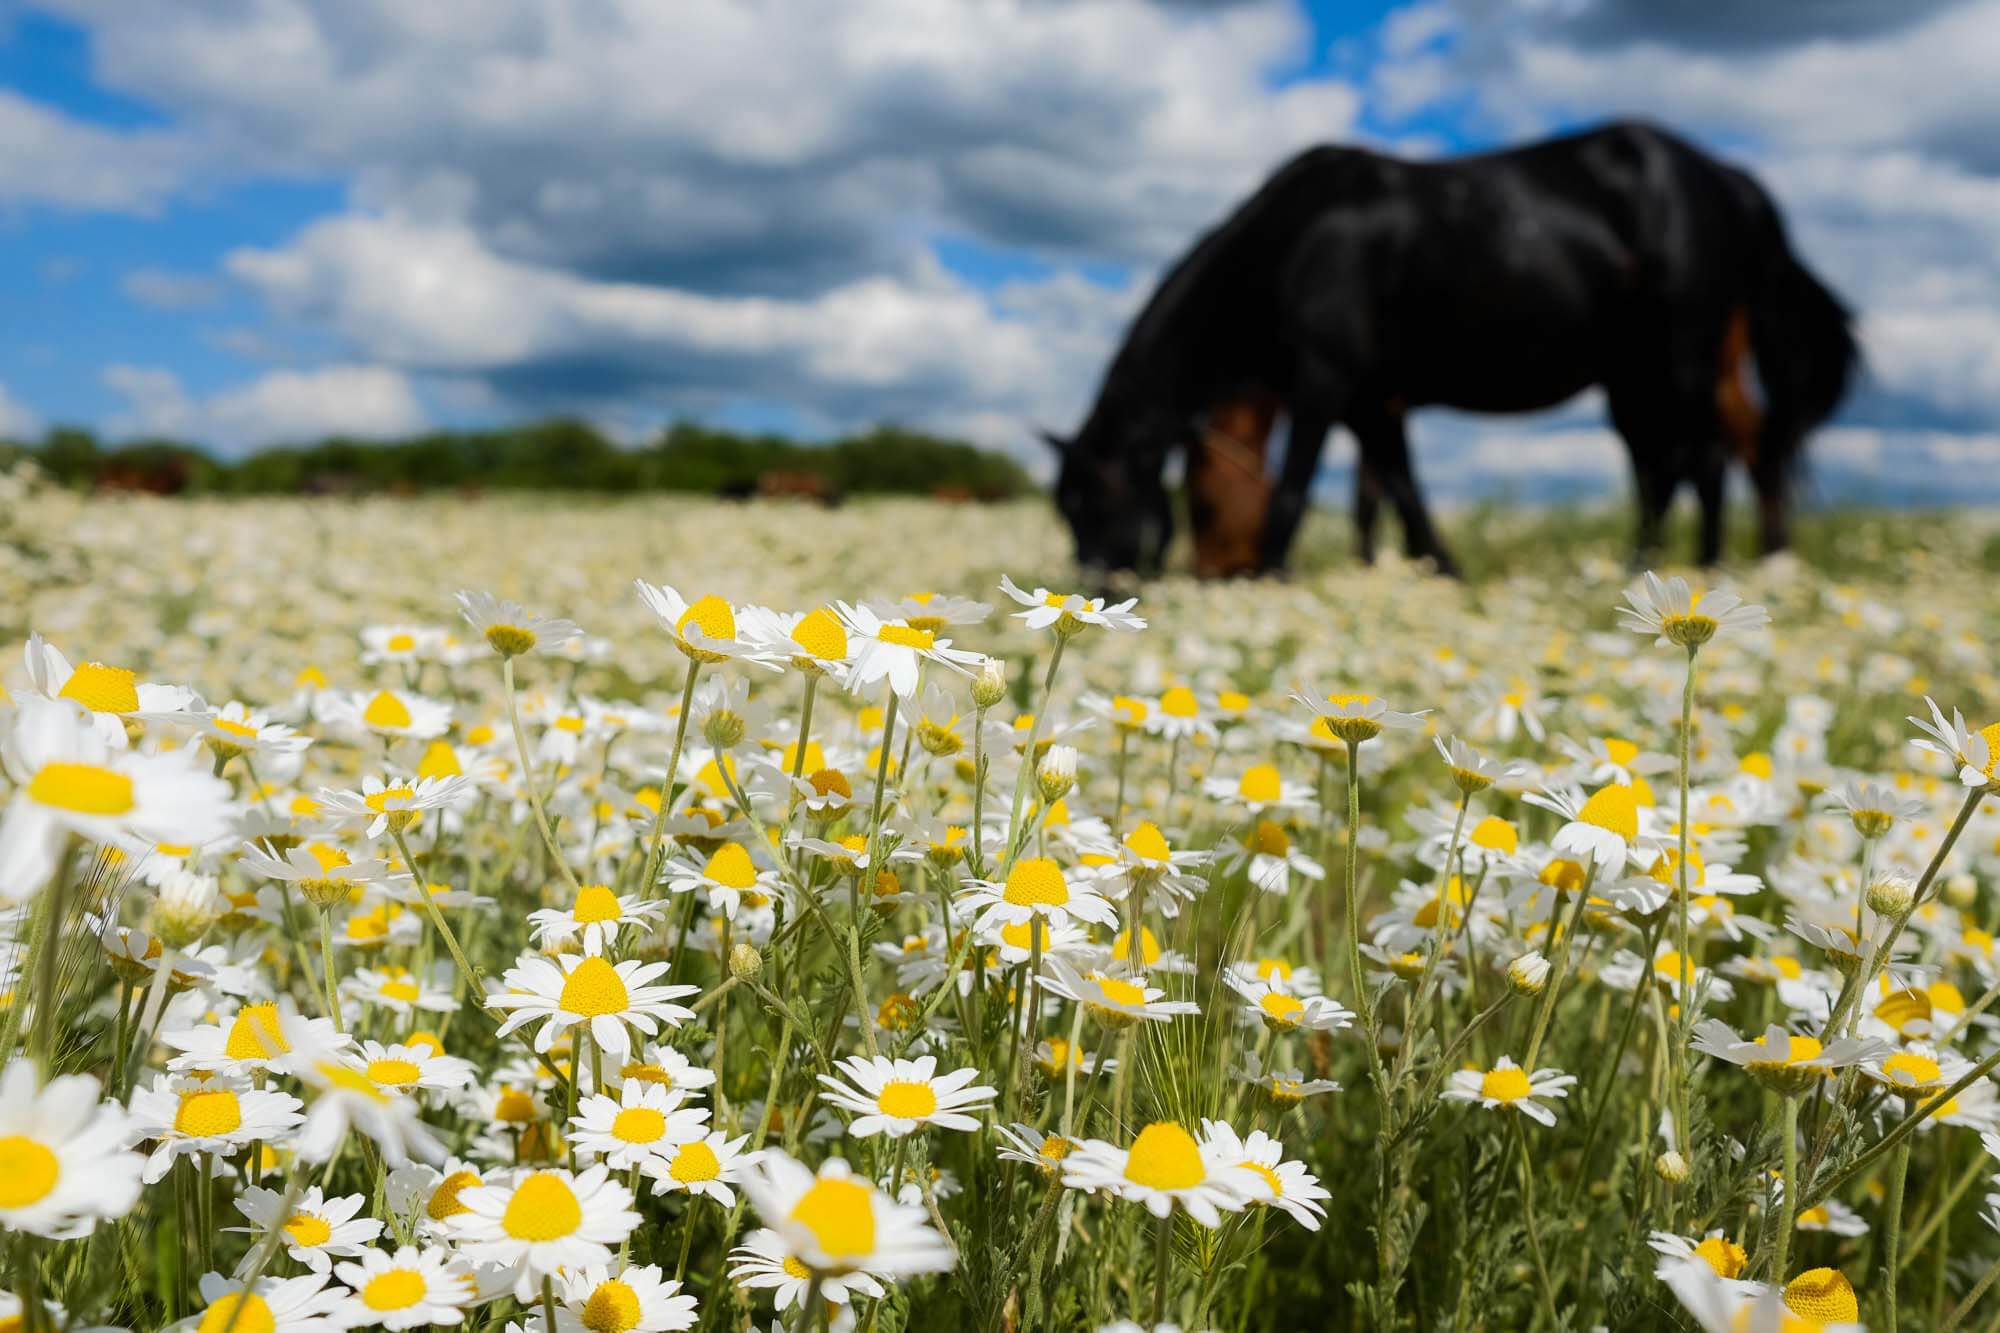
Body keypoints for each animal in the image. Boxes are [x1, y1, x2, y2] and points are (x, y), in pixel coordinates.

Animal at [1056, 122, 1848, 580]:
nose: (1099, 583)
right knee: (1664, 466)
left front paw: (1273, 574)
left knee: (1707, 455)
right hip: (1633, 374)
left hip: (1682, 353)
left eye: (1202, 501)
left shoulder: (1326, 379)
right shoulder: (1371, 398)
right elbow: (1400, 489)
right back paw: (1647, 565)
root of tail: (1731, 180)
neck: (1292, 242)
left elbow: (1298, 486)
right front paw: (1438, 570)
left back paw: (1705, 567)